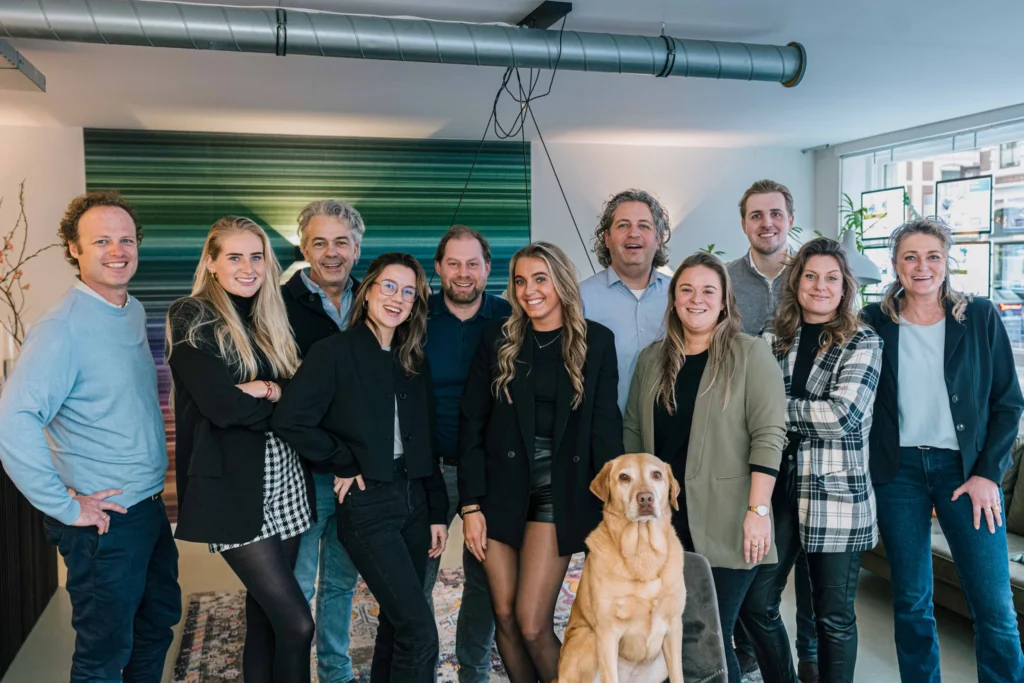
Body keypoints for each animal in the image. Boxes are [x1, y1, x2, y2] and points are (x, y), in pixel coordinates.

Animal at [557, 454, 684, 683]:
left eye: (656, 475)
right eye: (624, 477)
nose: (646, 498)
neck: (642, 551)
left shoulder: (673, 629)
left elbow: (678, 675)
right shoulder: (607, 633)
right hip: (589, 638)